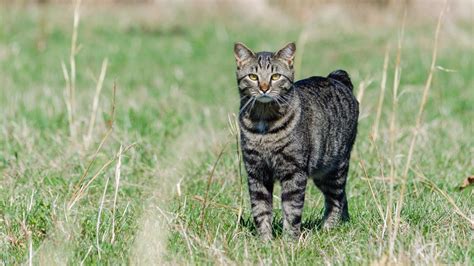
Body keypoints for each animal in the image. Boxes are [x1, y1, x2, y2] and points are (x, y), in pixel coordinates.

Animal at [233, 42, 360, 240]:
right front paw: (265, 241)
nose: (264, 87)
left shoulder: (294, 172)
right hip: (321, 172)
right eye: (253, 76)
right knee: (342, 197)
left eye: (275, 76)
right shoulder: (256, 172)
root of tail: (335, 77)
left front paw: (289, 241)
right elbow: (260, 210)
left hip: (335, 168)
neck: (264, 124)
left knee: (336, 199)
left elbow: (291, 210)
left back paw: (328, 228)